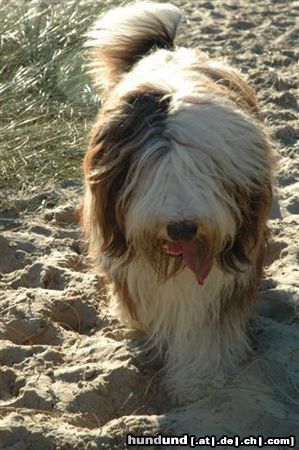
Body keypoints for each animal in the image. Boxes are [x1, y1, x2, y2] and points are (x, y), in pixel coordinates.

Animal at [80, 1, 276, 402]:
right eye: (152, 174)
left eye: (204, 174)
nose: (183, 228)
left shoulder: (229, 270)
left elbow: (206, 326)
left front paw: (198, 380)